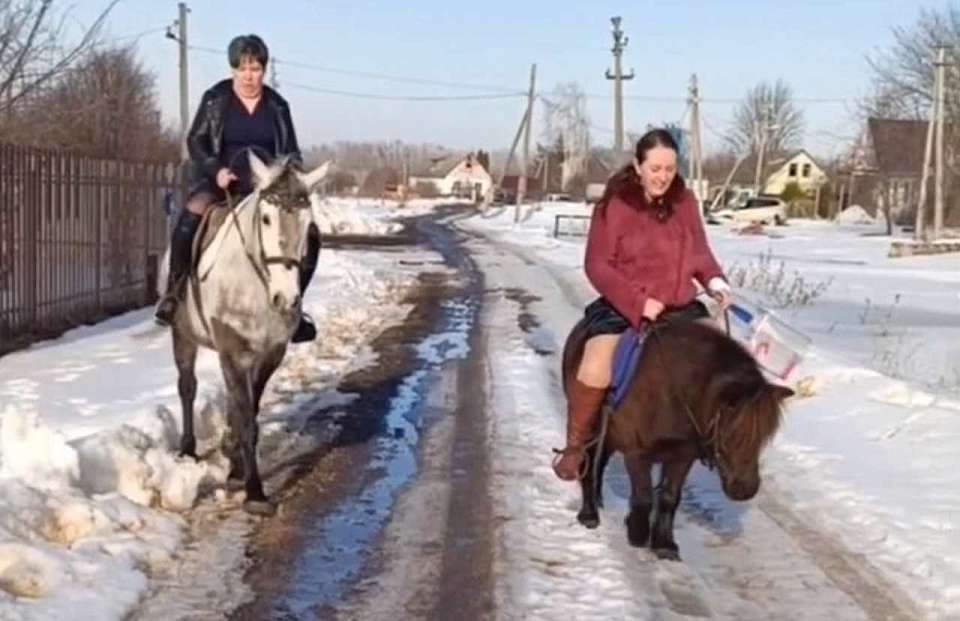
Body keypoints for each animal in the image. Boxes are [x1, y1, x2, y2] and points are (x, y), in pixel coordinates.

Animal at [163, 154, 332, 512]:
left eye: (308, 222)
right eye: (265, 218)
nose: (286, 298)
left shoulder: (270, 353)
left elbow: (249, 412)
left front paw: (239, 470)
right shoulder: (232, 349)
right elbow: (244, 416)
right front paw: (254, 491)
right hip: (182, 334)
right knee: (187, 386)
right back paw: (187, 449)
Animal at [560, 318, 792, 560]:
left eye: (764, 435)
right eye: (732, 433)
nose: (746, 489)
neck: (676, 393)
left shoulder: (682, 456)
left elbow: (670, 497)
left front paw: (664, 543)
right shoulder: (637, 453)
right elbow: (643, 496)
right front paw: (637, 532)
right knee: (587, 458)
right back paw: (589, 513)